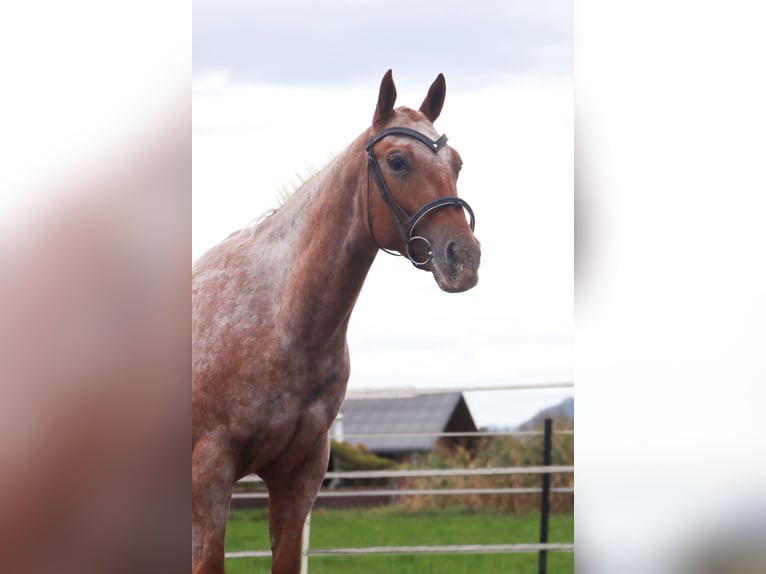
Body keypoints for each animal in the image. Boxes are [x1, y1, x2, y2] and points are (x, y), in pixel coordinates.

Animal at [191, 70, 480, 572]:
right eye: (397, 161)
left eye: (457, 163)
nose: (463, 257)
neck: (279, 321)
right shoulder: (208, 473)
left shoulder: (300, 476)